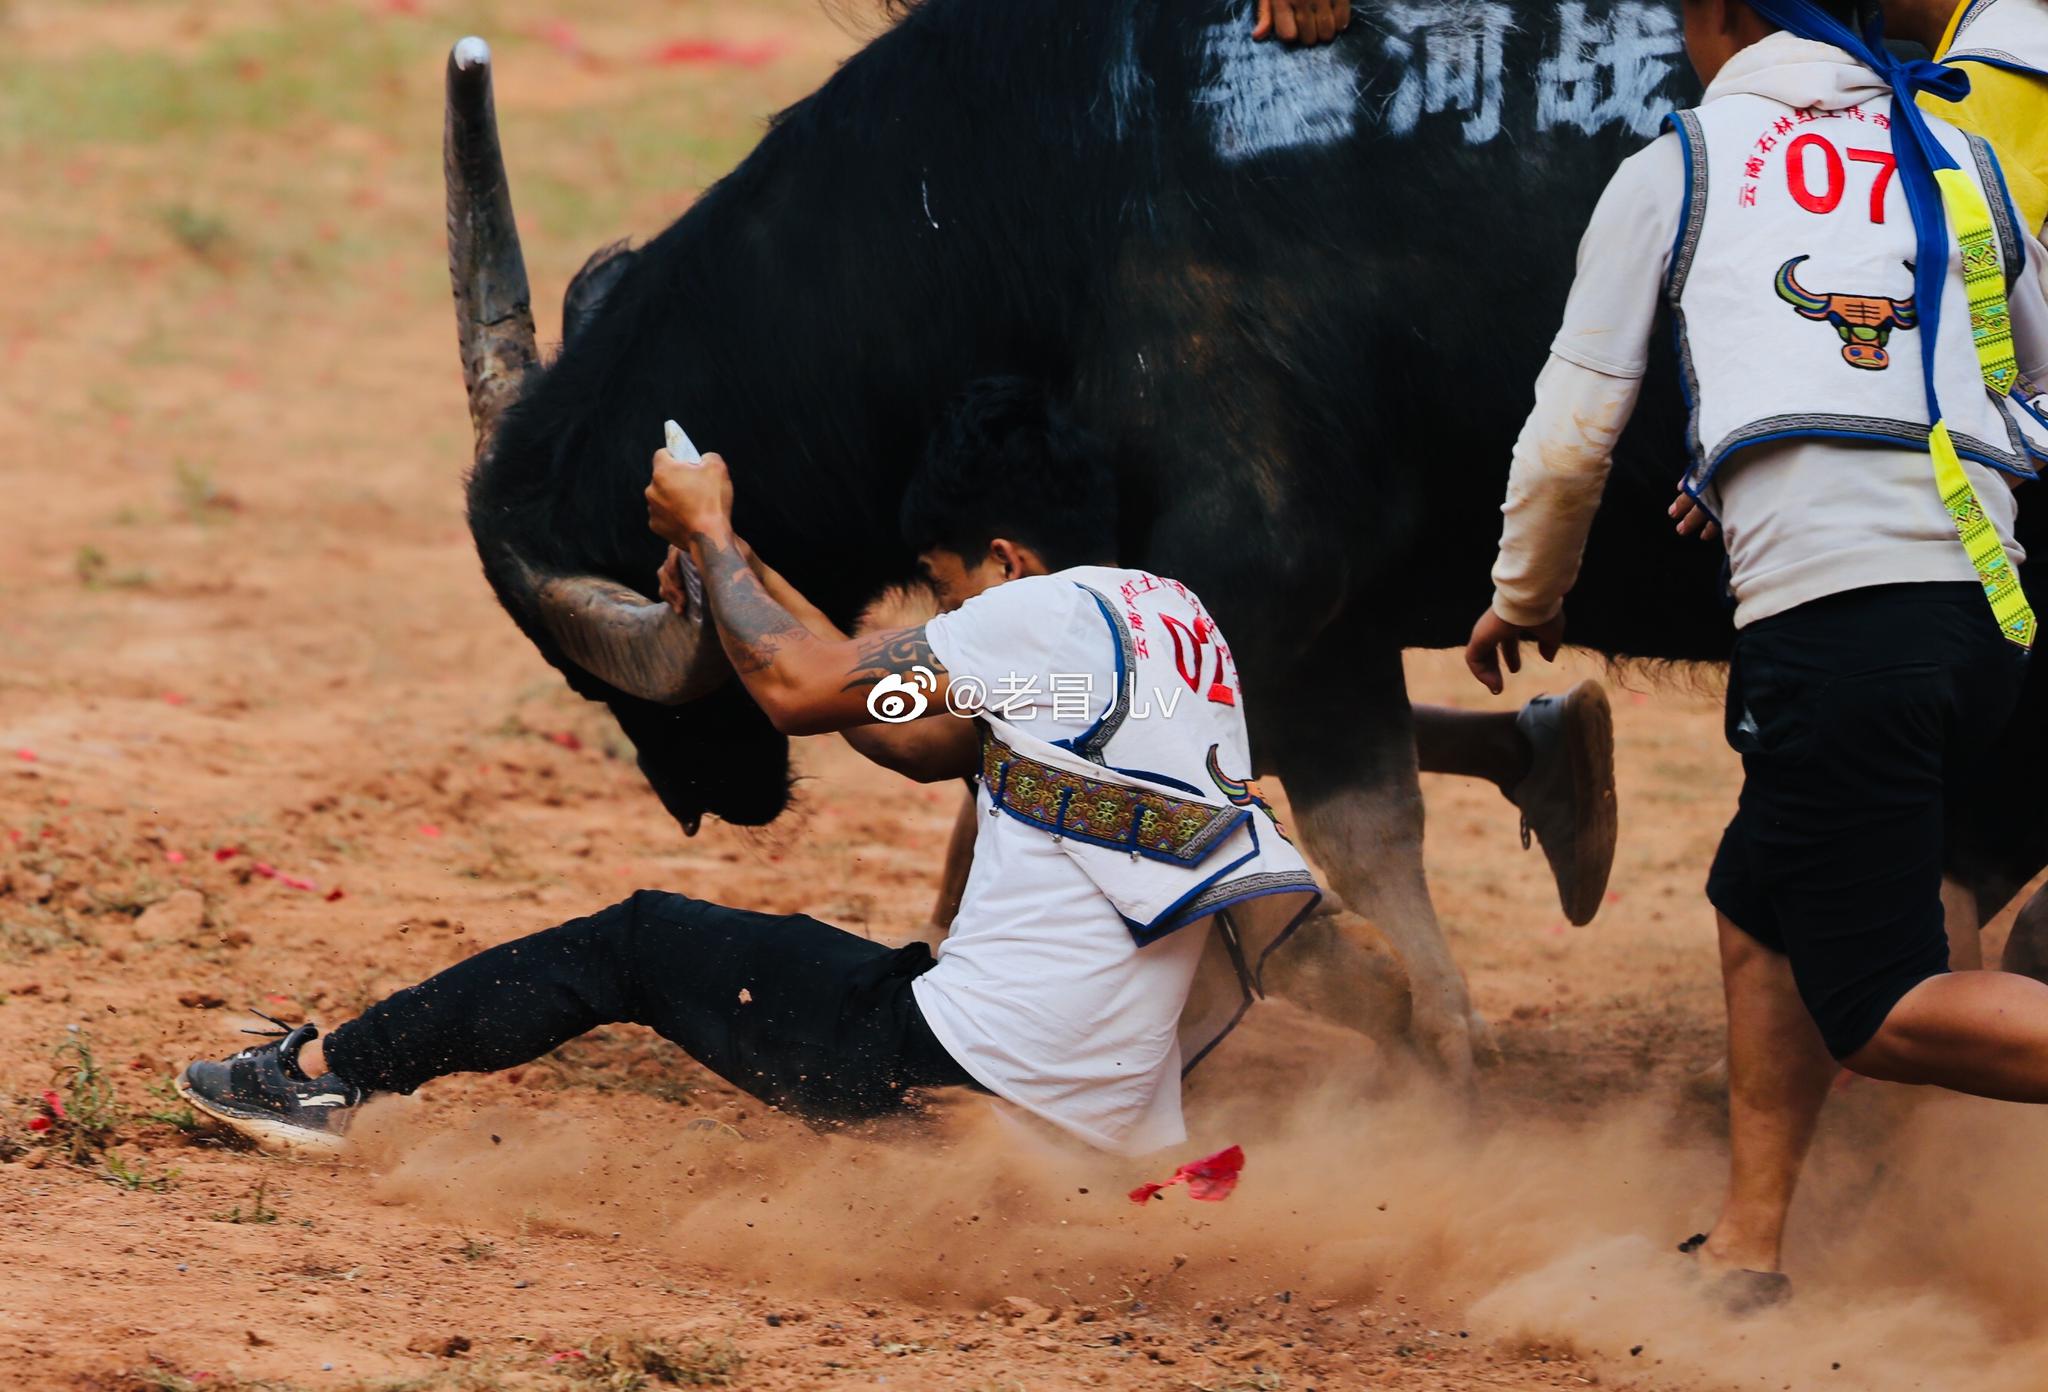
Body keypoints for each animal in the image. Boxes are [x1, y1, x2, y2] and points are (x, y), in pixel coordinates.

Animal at [444, 0, 2048, 1072]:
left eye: (588, 666)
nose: (701, 797)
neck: (1036, 188)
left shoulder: (1251, 563)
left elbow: (1026, 799)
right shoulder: (1322, 620)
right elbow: (1367, 819)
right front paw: (1445, 1038)